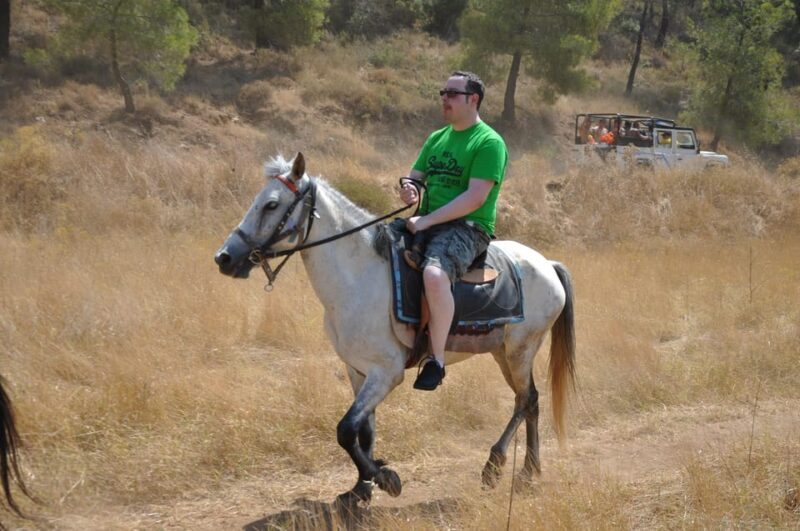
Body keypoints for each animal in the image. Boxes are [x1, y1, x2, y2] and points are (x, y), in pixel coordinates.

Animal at [214, 153, 576, 507]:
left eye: (272, 204)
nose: (224, 258)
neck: (360, 277)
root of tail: (547, 264)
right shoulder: (358, 370)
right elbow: (364, 430)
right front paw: (360, 488)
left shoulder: (386, 372)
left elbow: (345, 429)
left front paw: (385, 478)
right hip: (502, 352)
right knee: (528, 401)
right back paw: (527, 470)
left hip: (520, 351)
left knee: (526, 399)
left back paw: (499, 466)